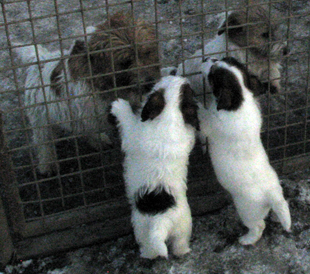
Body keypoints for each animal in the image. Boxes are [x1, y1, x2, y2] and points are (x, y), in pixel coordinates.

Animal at [13, 11, 160, 174]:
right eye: (125, 62)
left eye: (147, 52)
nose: (149, 83)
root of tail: (39, 60)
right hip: (40, 118)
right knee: (44, 142)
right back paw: (48, 164)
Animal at [110, 75, 200, 260]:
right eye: (188, 91)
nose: (180, 77)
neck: (170, 116)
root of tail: (162, 220)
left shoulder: (132, 135)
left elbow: (127, 121)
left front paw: (119, 105)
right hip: (183, 227)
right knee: (179, 244)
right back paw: (184, 251)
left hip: (141, 228)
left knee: (149, 247)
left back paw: (145, 254)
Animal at [199, 56, 290, 245]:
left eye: (211, 74)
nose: (206, 58)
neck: (240, 99)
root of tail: (272, 194)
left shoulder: (207, 124)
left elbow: (200, 113)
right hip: (277, 197)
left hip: (246, 211)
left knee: (259, 226)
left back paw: (246, 240)